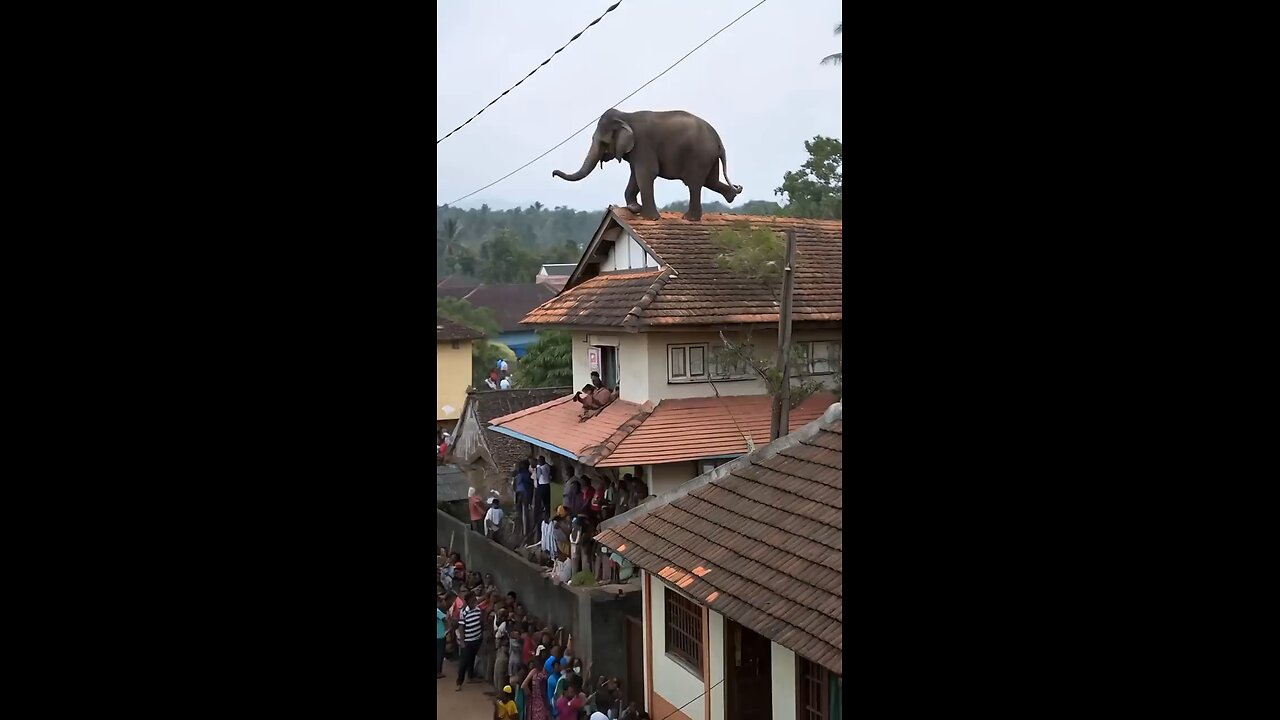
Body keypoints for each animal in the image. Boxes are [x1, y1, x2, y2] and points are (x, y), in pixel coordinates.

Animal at [550, 107, 742, 220]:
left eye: (603, 142)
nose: (552, 173)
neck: (625, 116)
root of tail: (719, 141)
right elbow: (635, 174)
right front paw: (634, 208)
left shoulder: (643, 145)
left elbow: (645, 174)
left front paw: (650, 218)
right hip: (708, 157)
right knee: (710, 181)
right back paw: (731, 196)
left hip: (699, 155)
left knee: (694, 183)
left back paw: (689, 218)